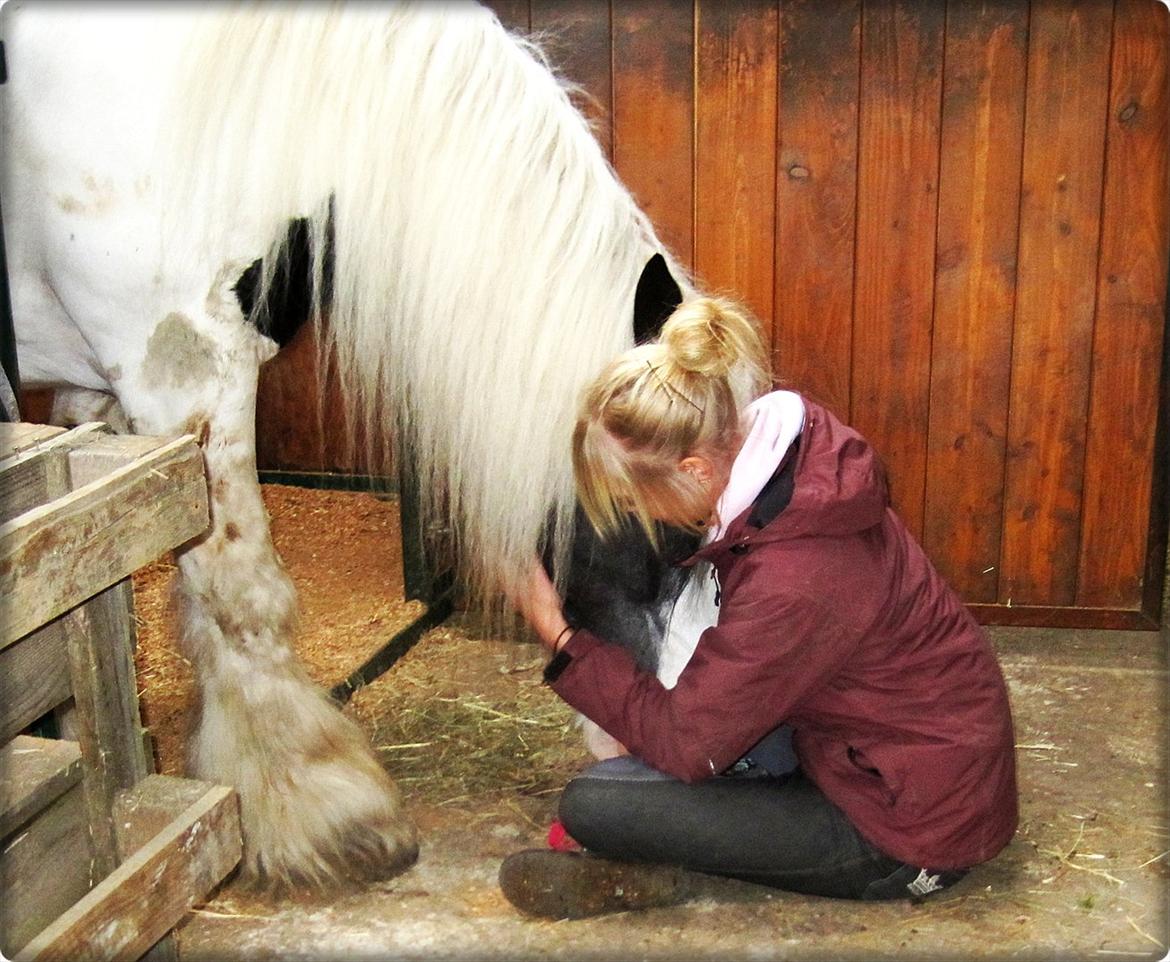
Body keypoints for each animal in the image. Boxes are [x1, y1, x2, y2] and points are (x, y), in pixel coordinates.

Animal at [4, 1, 753, 889]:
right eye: (671, 533)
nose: (667, 757)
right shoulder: (178, 372)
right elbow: (236, 588)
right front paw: (313, 804)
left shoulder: (104, 401)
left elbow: (112, 587)